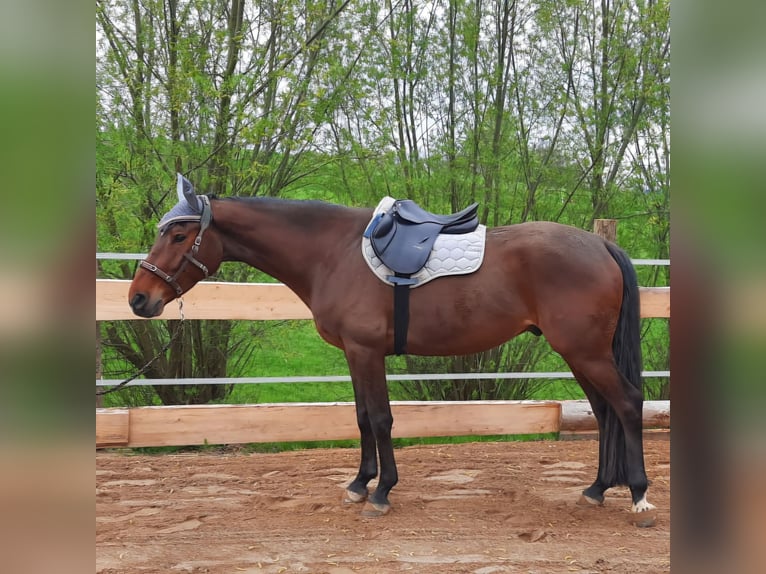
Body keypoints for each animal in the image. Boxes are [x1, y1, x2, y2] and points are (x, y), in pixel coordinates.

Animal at [128, 174, 654, 518]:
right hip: (581, 354)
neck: (332, 252)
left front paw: (382, 492)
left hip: (585, 352)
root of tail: (600, 245)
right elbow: (362, 418)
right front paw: (360, 484)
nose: (138, 299)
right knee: (604, 411)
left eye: (179, 234)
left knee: (628, 404)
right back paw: (598, 488)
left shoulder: (366, 351)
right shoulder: (354, 354)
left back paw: (639, 495)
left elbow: (380, 419)